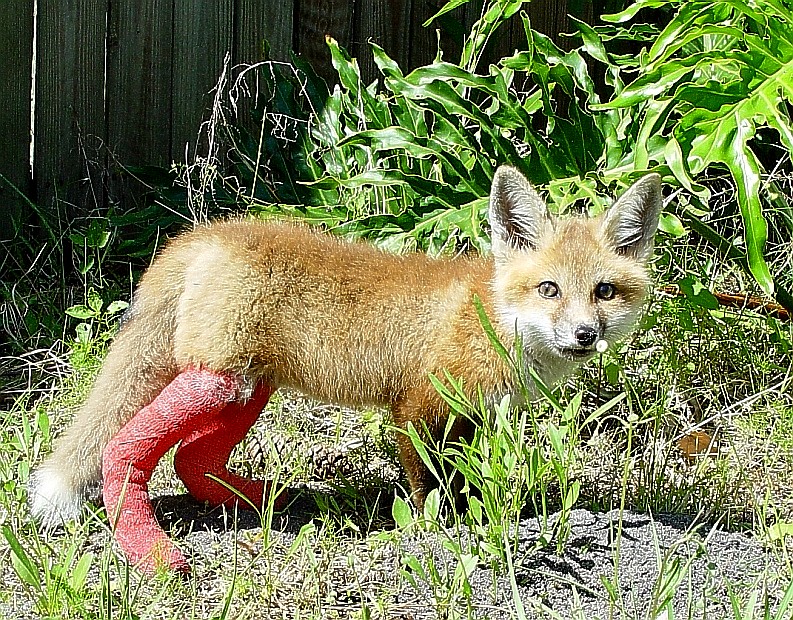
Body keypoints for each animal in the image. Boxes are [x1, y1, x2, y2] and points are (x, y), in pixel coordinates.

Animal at [29, 165, 662, 571]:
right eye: (549, 289)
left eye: (604, 291)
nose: (584, 335)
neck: (490, 316)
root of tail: (203, 234)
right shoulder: (418, 408)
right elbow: (430, 487)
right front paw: (438, 530)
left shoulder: (470, 417)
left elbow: (462, 482)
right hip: (218, 378)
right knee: (122, 448)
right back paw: (148, 547)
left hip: (247, 386)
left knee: (193, 459)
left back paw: (265, 502)